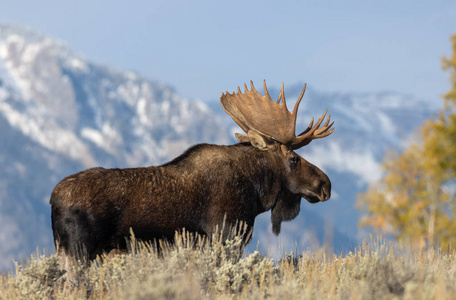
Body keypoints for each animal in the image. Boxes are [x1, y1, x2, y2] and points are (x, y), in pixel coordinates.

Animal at [50, 81, 334, 262]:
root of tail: (53, 199)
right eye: (293, 159)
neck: (258, 192)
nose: (326, 185)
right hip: (77, 250)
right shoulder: (226, 233)